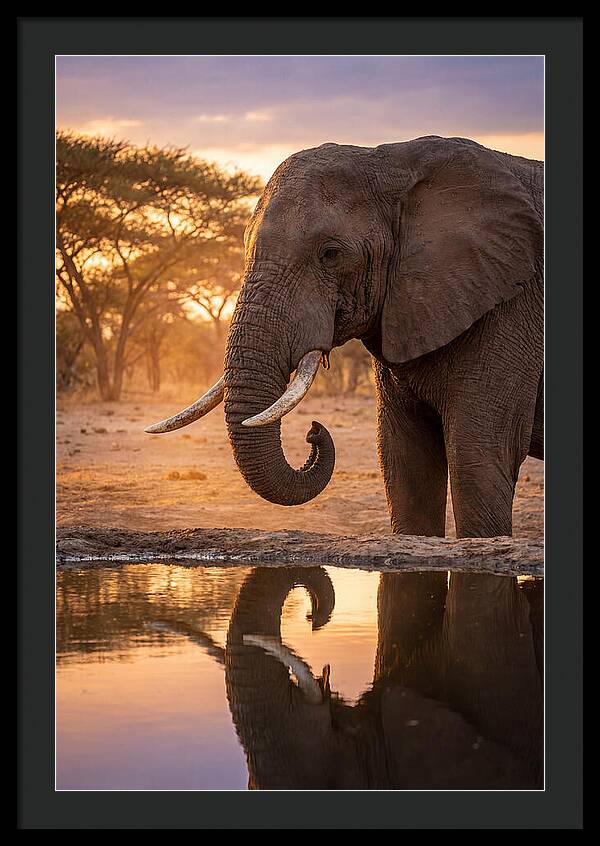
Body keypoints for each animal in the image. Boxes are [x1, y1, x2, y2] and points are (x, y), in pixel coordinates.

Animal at [147, 135, 544, 538]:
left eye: (331, 254)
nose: (314, 431)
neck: (396, 162)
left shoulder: (511, 307)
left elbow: (477, 458)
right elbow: (405, 462)